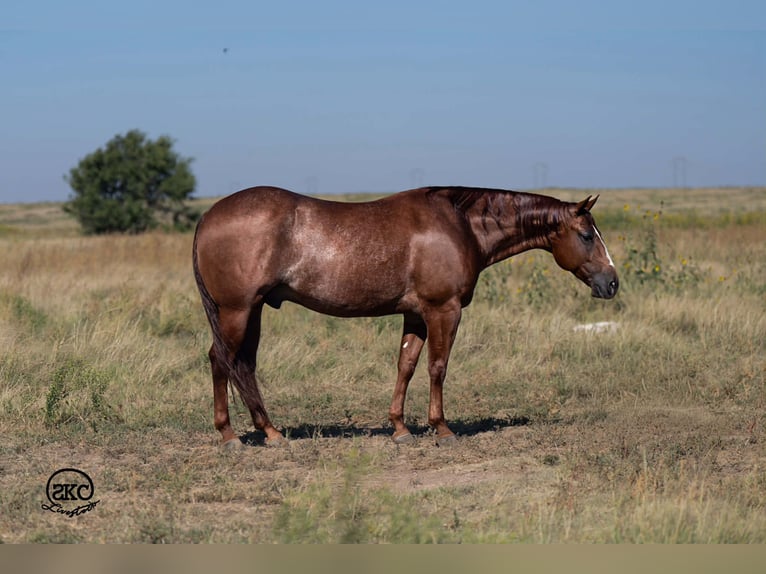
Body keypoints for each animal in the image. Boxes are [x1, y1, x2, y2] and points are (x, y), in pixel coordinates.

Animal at [192, 186, 618, 447]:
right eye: (587, 236)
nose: (612, 283)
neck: (459, 225)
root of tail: (208, 215)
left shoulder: (414, 315)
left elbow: (407, 365)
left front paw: (399, 427)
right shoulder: (442, 310)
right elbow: (437, 367)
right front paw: (441, 428)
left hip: (253, 311)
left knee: (242, 365)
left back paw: (267, 430)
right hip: (236, 311)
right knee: (220, 360)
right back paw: (232, 435)